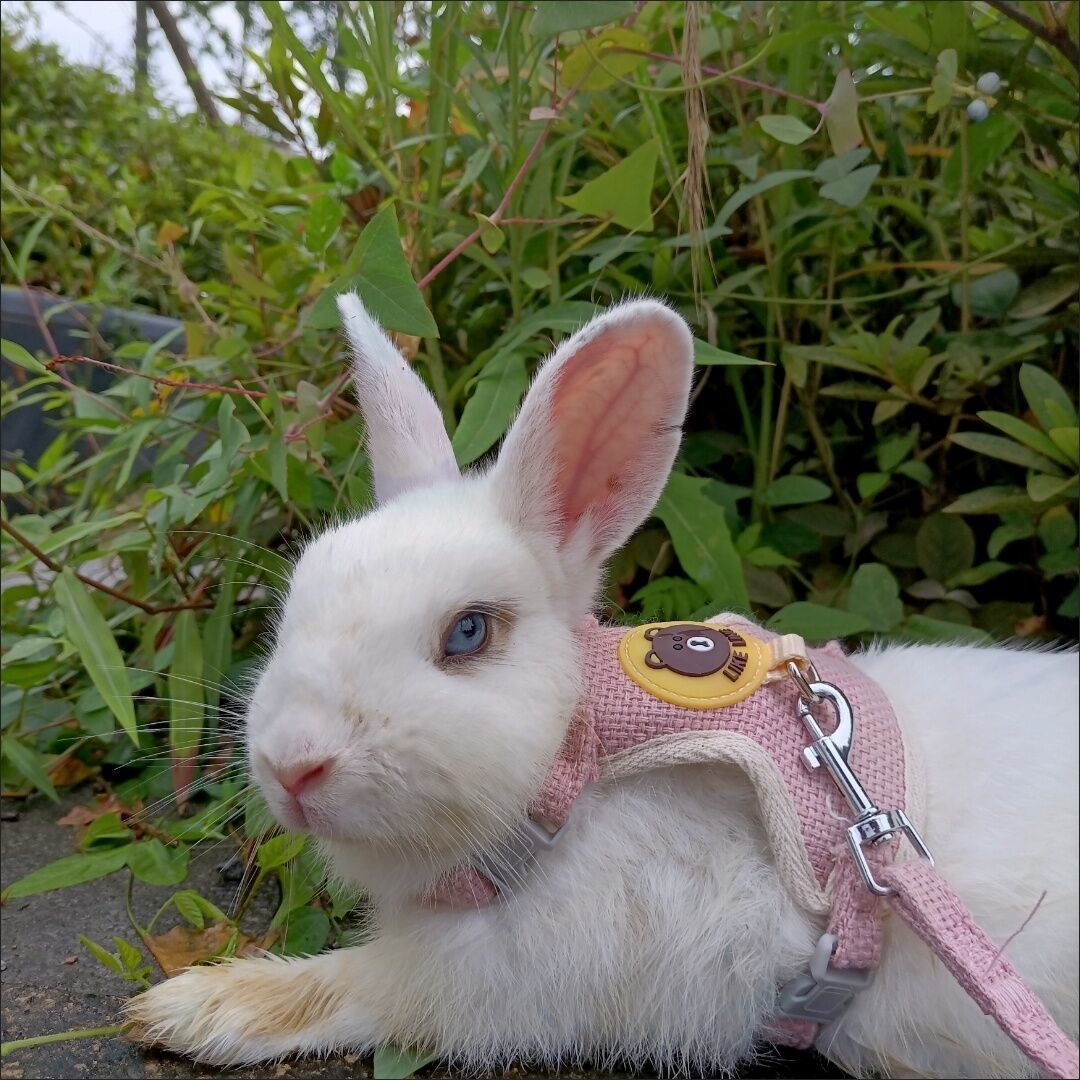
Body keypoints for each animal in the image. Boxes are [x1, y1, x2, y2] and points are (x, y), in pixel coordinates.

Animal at [127, 296, 1079, 1078]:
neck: (580, 763)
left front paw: (195, 1009)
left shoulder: (508, 980)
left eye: (469, 633)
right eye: (298, 597)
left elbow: (354, 986)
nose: (292, 765)